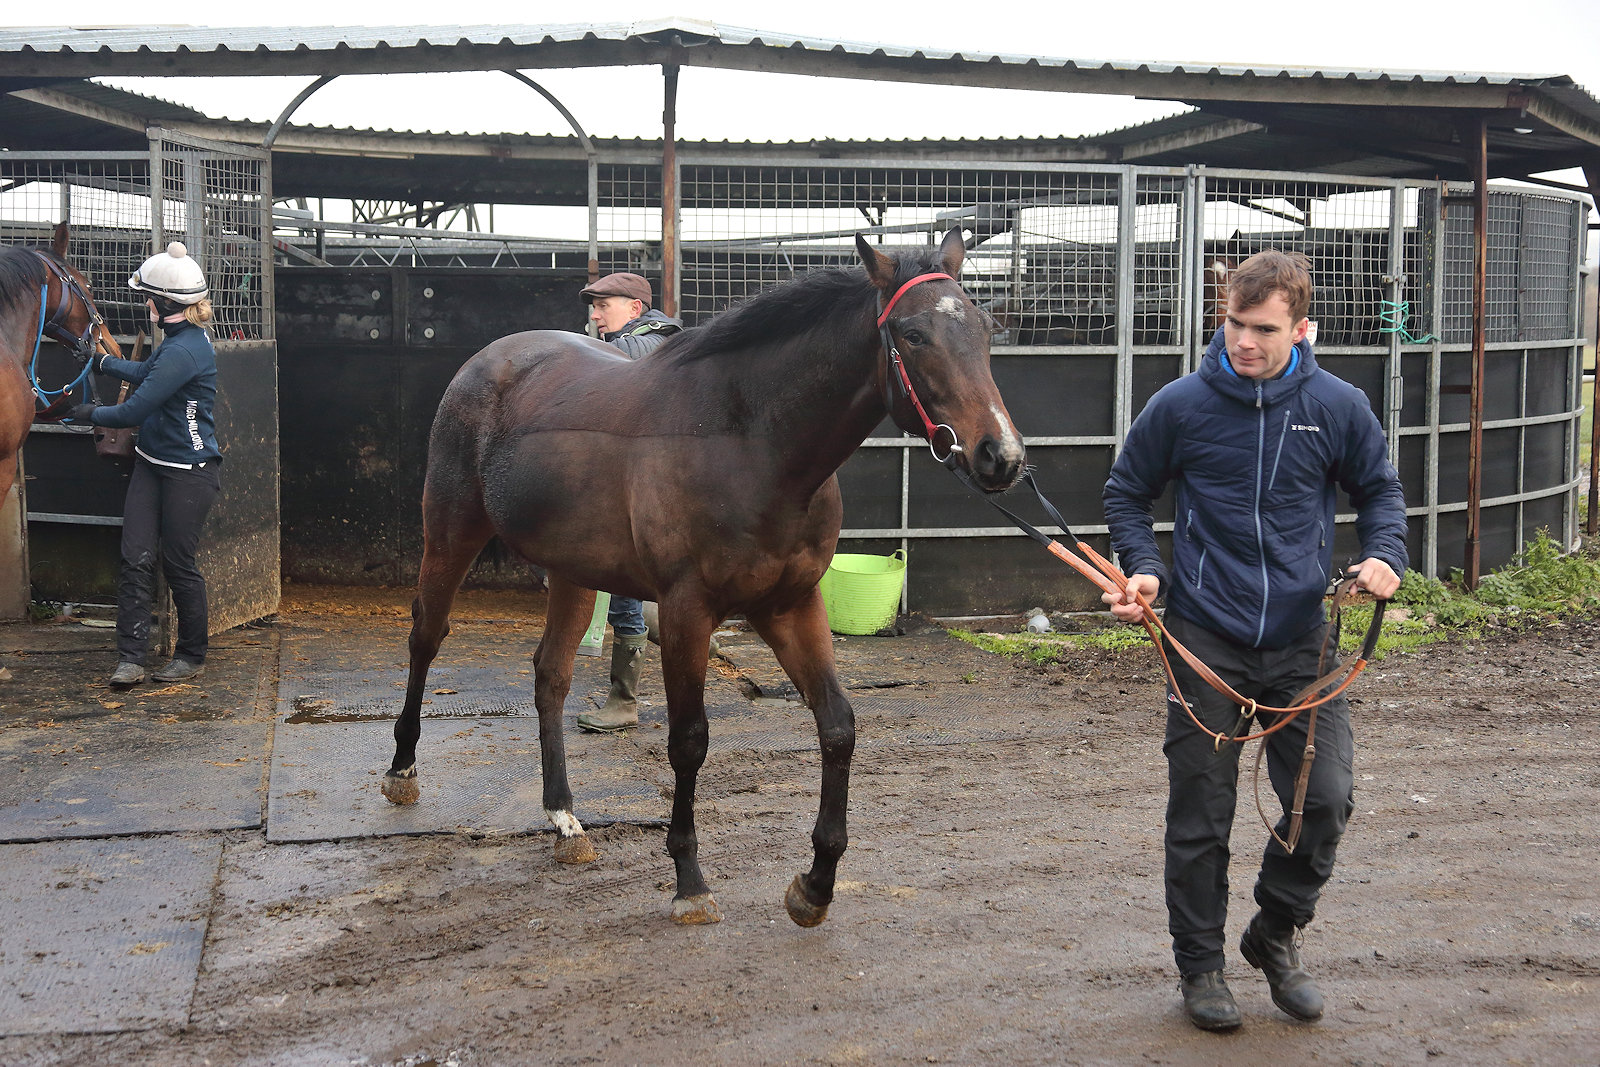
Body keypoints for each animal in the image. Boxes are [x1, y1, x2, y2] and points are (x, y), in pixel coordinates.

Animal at [383, 229, 1026, 927]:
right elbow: (689, 742)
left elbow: (838, 725)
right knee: (427, 637)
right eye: (912, 334)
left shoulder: (792, 607)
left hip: (574, 570)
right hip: (451, 529)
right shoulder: (687, 611)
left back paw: (564, 818)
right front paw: (690, 881)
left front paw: (815, 885)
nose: (1002, 456)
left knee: (550, 674)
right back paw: (401, 770)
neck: (748, 441)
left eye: (985, 331)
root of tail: (490, 360)